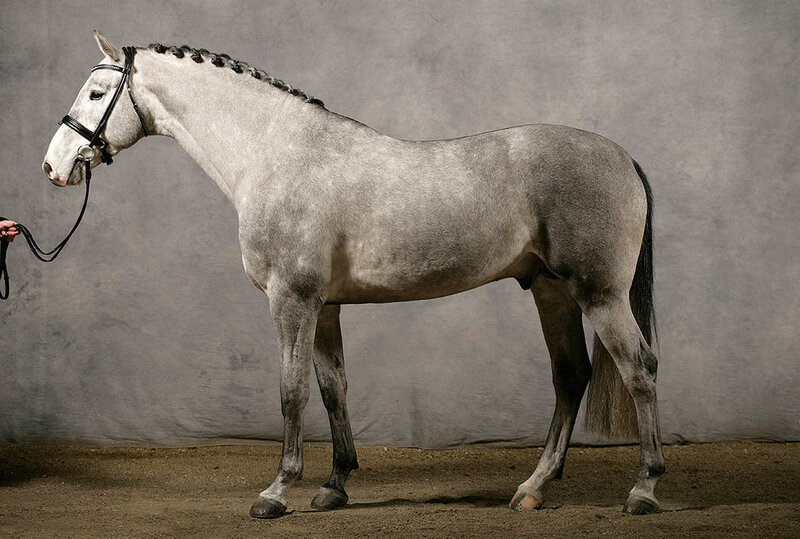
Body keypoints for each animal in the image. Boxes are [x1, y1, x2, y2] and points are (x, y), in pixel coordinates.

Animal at [42, 32, 664, 518]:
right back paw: (533, 488)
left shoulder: (291, 300)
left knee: (639, 369)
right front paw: (334, 486)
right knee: (570, 376)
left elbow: (291, 392)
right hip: (551, 291)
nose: (54, 165)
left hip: (600, 294)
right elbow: (332, 389)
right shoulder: (325, 306)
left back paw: (643, 489)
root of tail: (623, 158)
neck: (278, 154)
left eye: (96, 94)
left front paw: (276, 492)